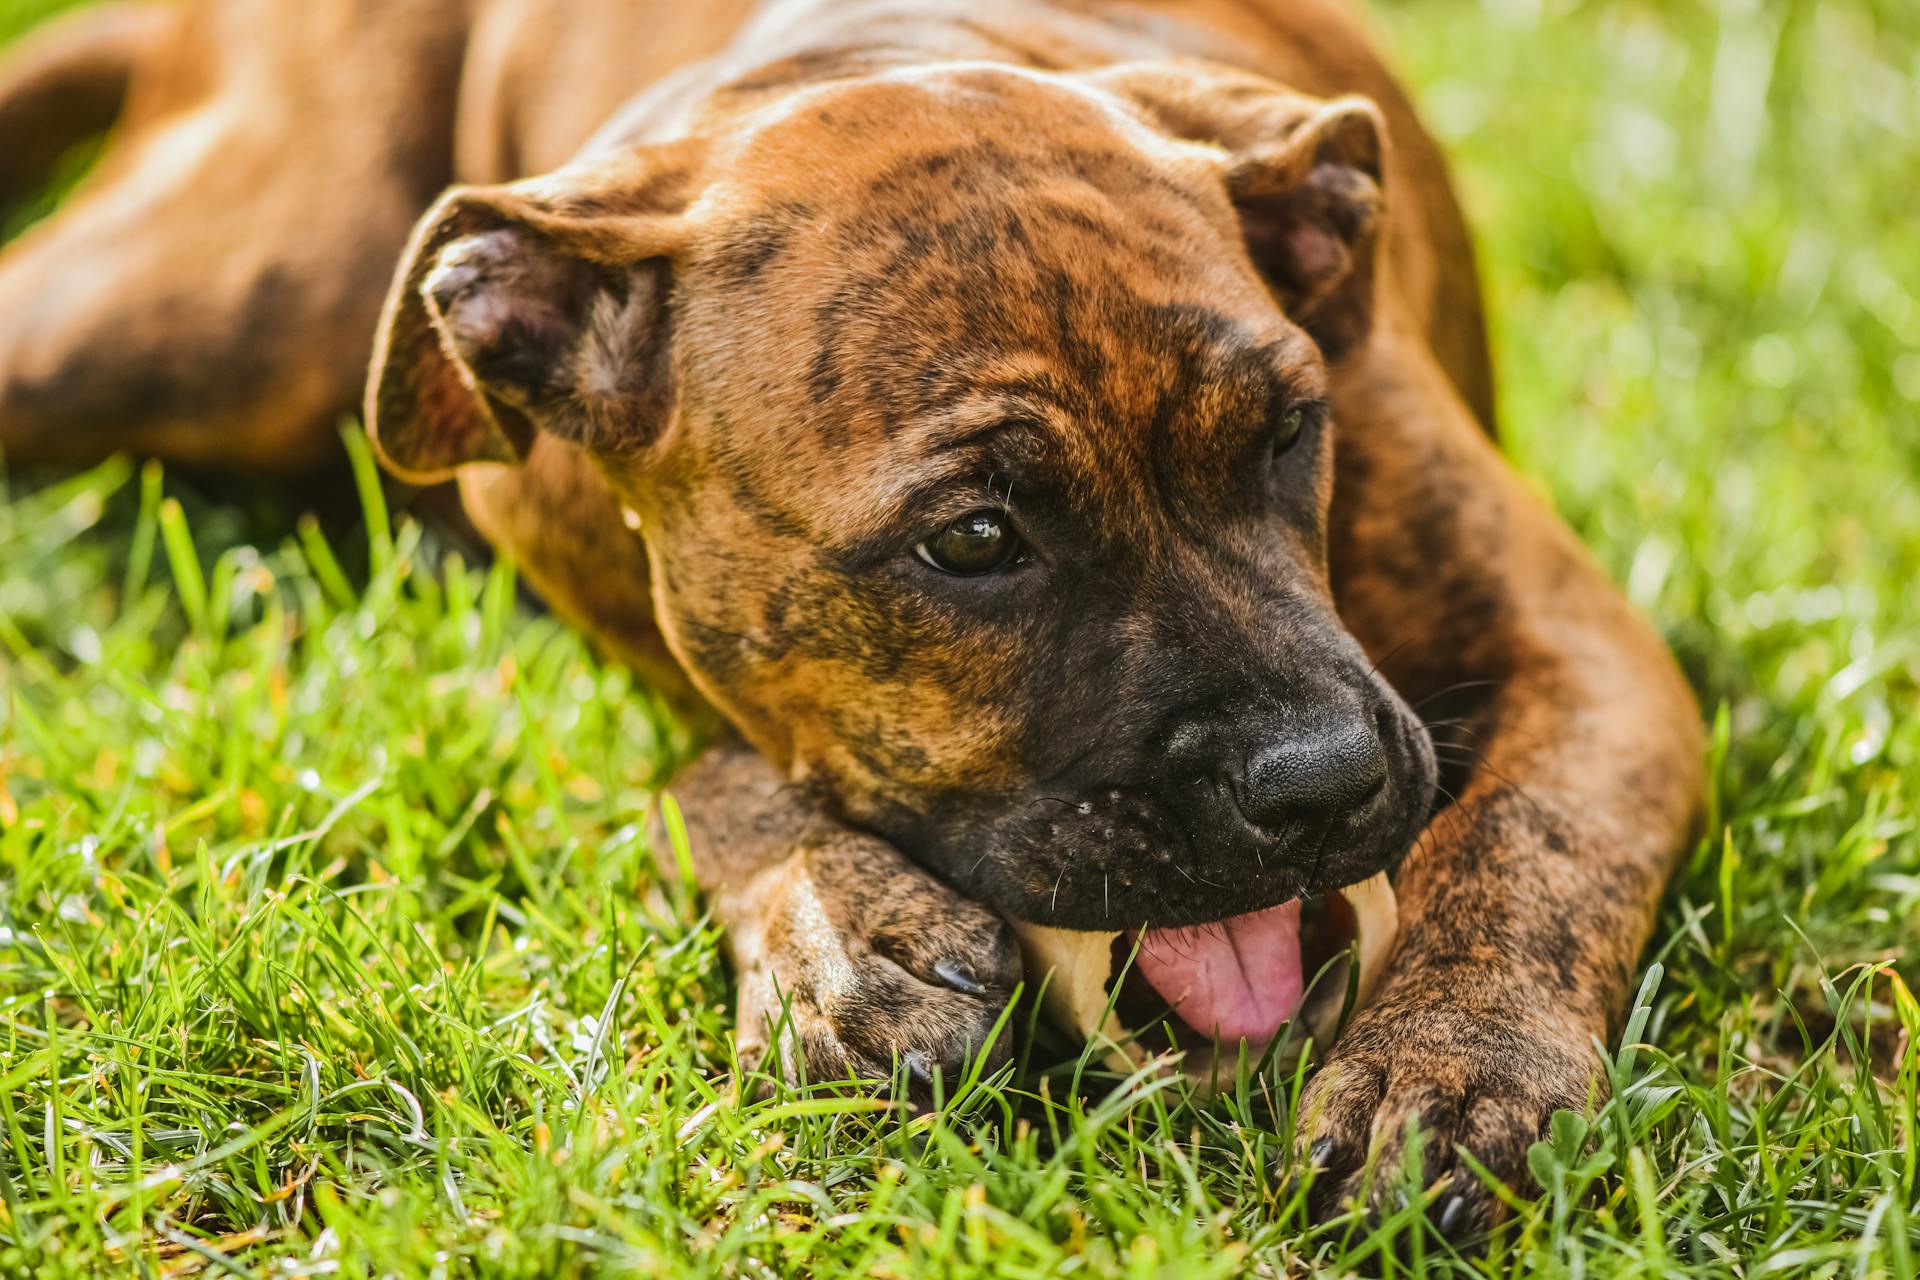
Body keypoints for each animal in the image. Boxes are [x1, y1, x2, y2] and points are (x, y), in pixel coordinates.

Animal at [3, 0, 1712, 1235]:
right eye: (973, 543)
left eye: (1291, 432)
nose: (1322, 782)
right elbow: (721, 776)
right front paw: (842, 933)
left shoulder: (1578, 653)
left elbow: (1529, 843)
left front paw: (1453, 1071)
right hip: (230, 296)